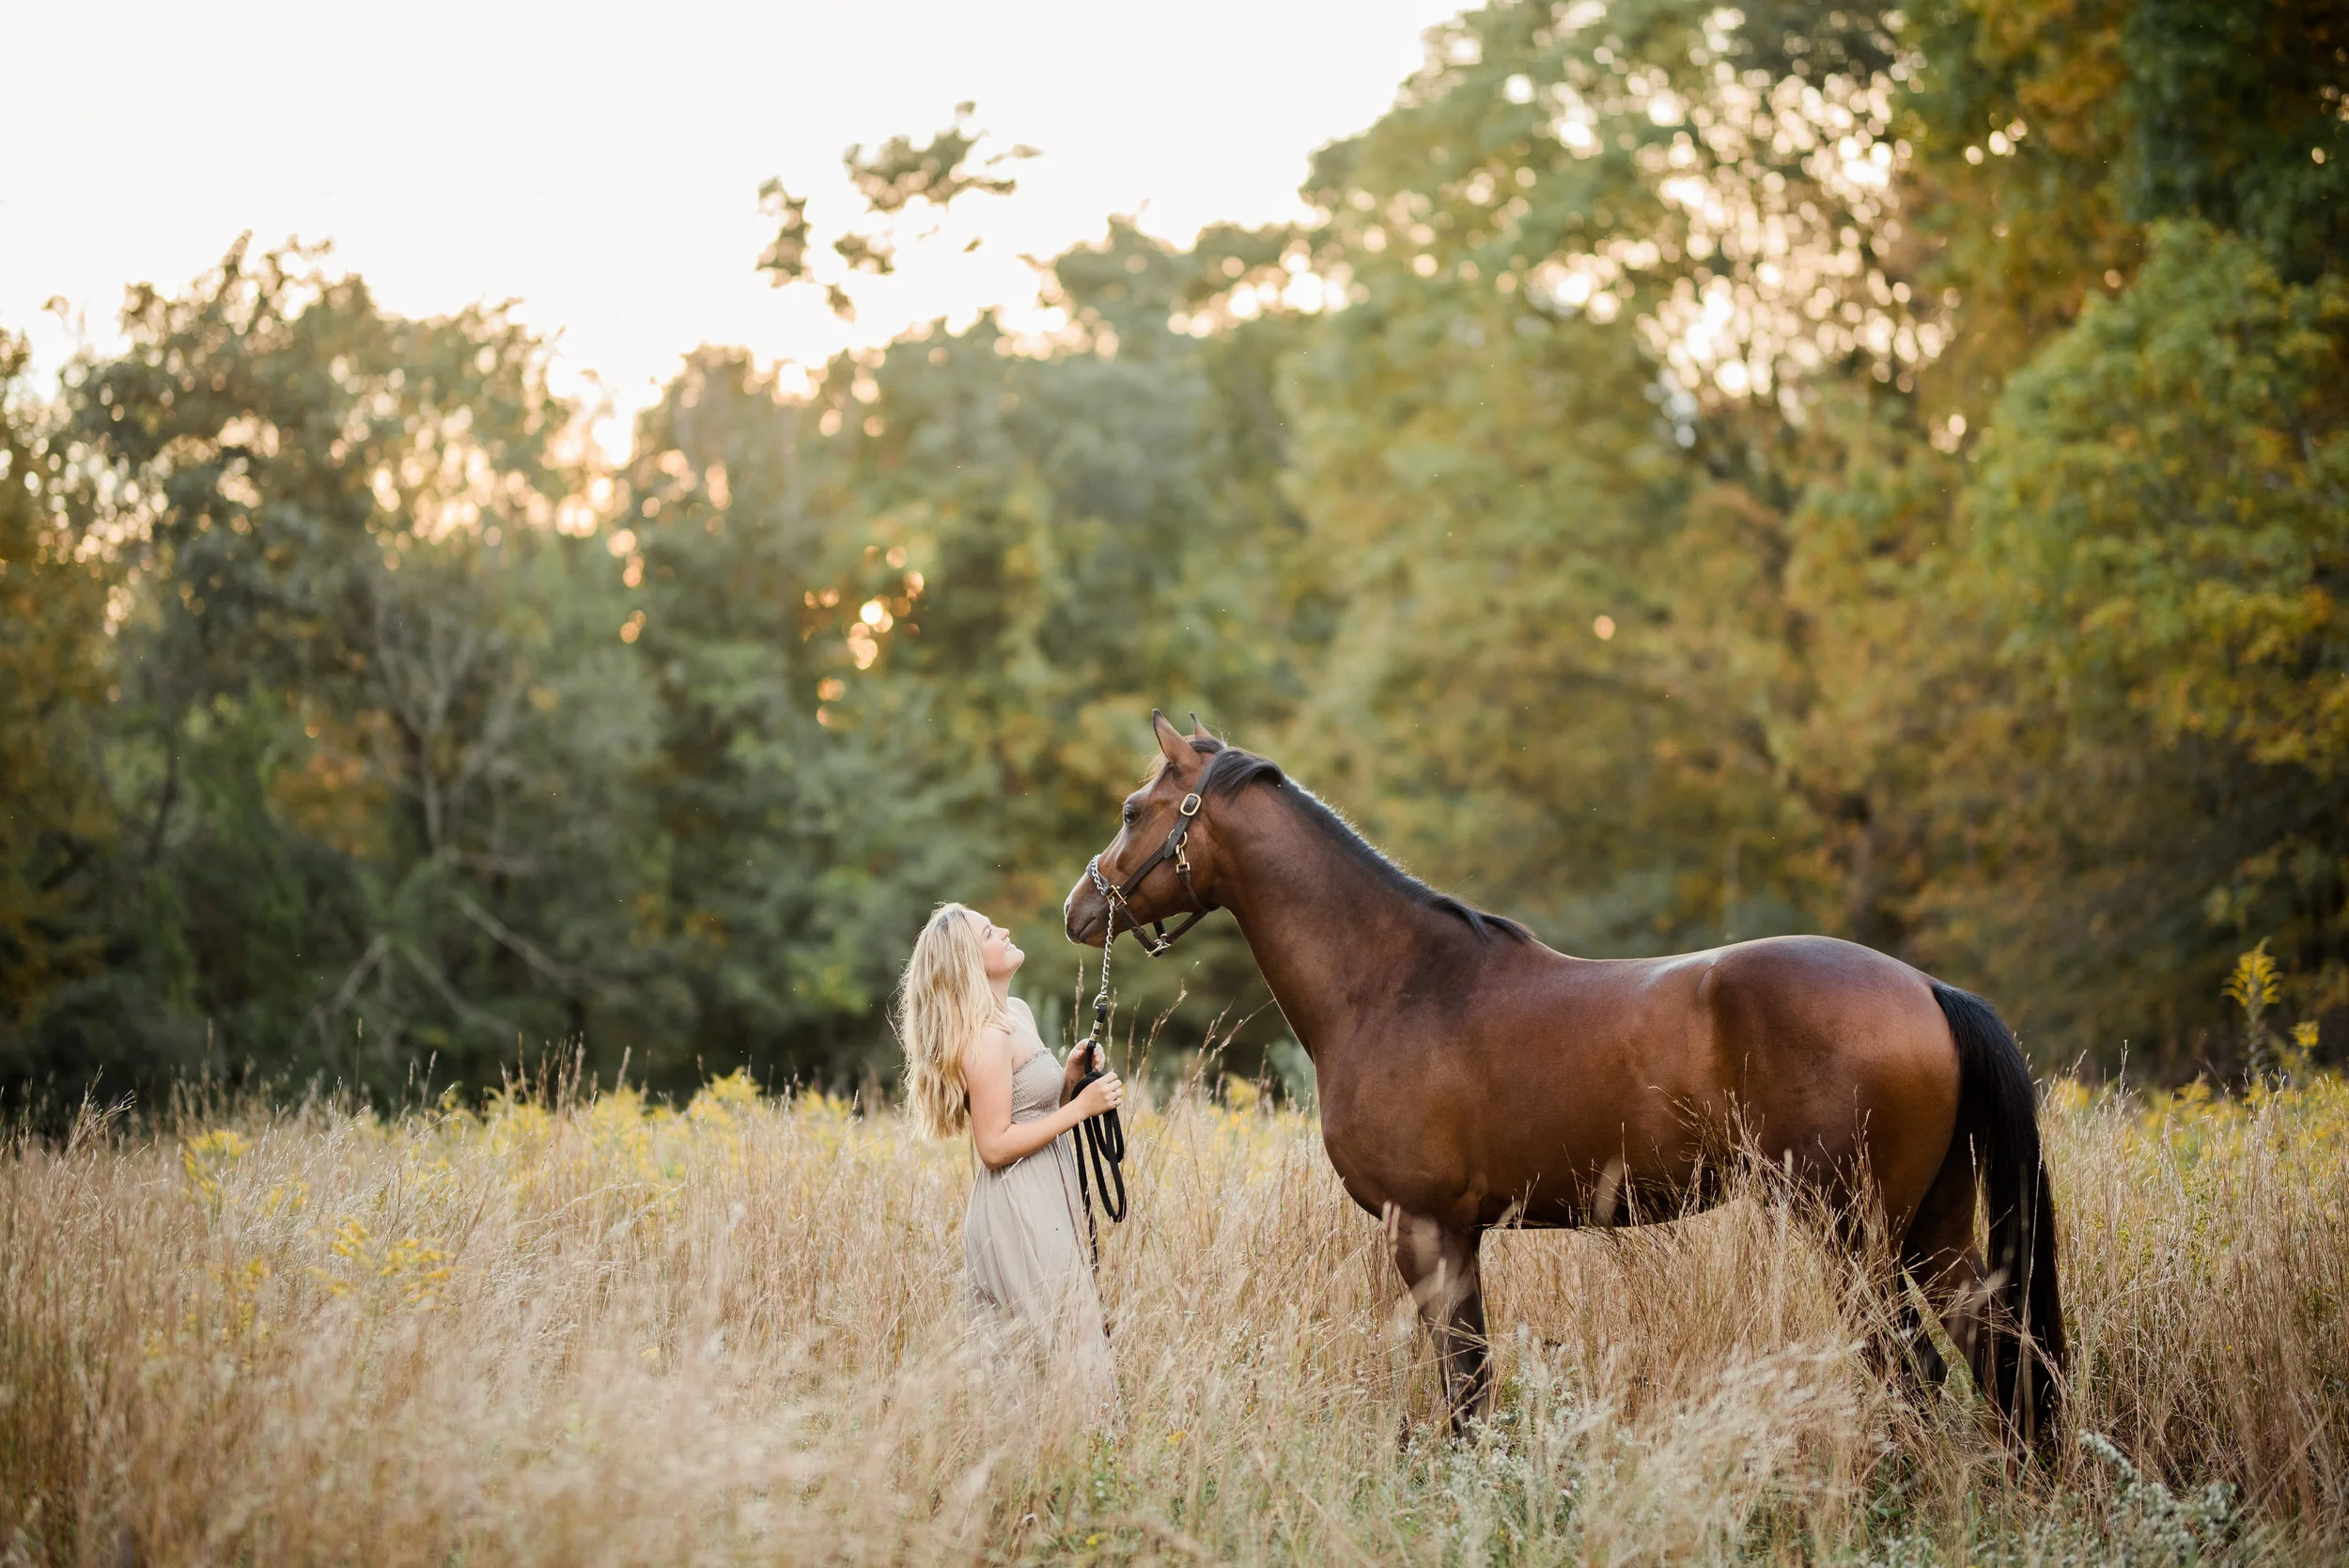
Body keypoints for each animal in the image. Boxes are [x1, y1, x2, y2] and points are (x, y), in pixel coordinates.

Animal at [1063, 712, 2066, 1448]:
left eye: (1133, 808)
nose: (1081, 907)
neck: (1395, 980)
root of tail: (1927, 988)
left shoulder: (1423, 1228)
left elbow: (1461, 1385)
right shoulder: (1462, 1233)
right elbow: (1474, 1379)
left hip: (1855, 1233)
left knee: (1913, 1373)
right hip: (1935, 1229)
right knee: (1996, 1356)